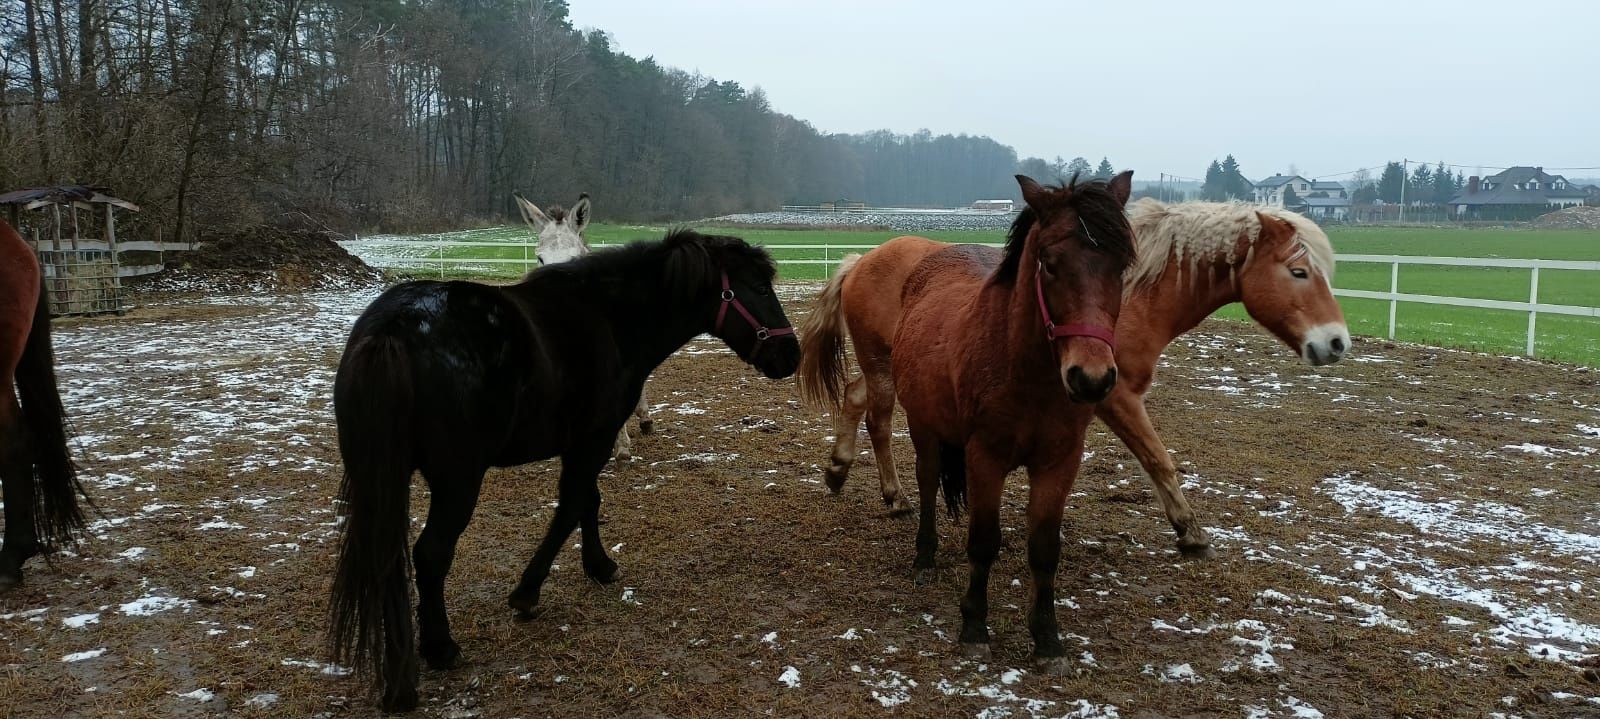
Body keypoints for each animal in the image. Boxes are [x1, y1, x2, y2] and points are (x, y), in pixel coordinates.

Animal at [328, 228, 800, 704]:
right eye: (760, 288)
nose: (791, 354)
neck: (610, 318)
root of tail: (392, 330)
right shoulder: (594, 439)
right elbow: (574, 506)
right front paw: (528, 592)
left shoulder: (583, 444)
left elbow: (588, 502)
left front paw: (598, 566)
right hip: (457, 480)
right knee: (430, 554)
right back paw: (438, 649)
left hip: (380, 477)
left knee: (387, 560)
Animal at [800, 198, 1350, 557]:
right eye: (1299, 273)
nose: (1337, 342)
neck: (1130, 296)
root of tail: (864, 258)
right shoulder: (1116, 396)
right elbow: (1158, 458)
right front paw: (1189, 530)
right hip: (881, 364)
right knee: (877, 418)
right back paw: (893, 497)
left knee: (853, 398)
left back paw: (838, 470)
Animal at [889, 171, 1139, 662]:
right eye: (1049, 263)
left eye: (1120, 266)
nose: (1091, 378)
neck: (1027, 373)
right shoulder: (984, 456)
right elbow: (983, 540)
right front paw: (974, 626)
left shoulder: (1059, 463)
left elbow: (1044, 549)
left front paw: (1047, 637)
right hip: (923, 426)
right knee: (927, 482)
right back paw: (924, 558)